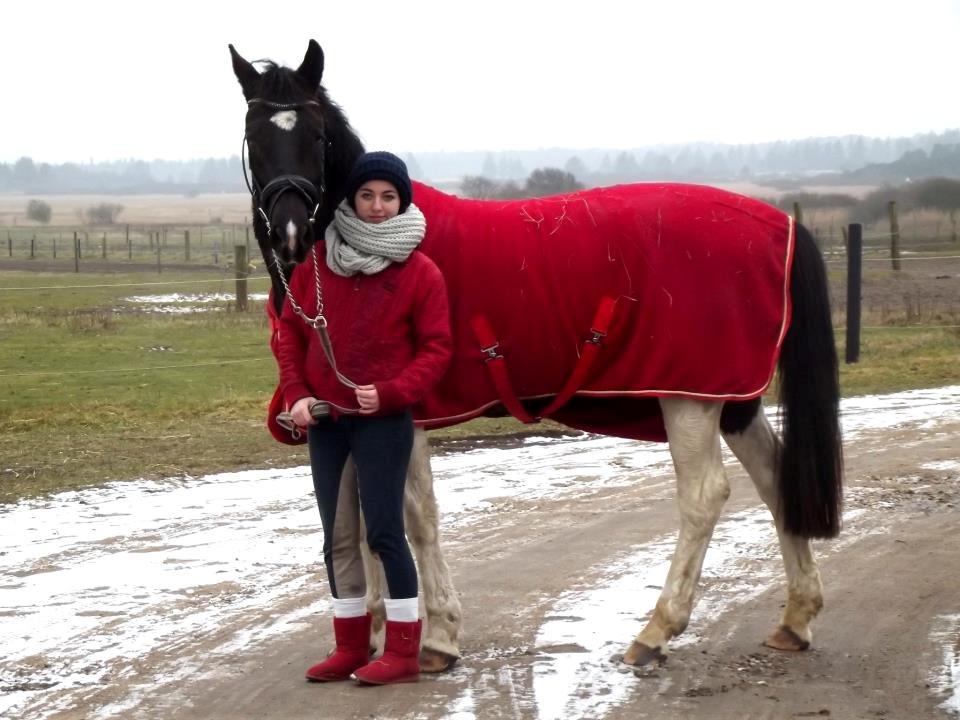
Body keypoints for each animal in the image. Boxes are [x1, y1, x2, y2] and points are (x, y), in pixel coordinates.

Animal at [231, 38, 840, 668]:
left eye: (316, 134)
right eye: (254, 133)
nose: (289, 233)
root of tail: (780, 225)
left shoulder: (402, 416)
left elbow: (414, 518)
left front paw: (439, 636)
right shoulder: (350, 417)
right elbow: (359, 516)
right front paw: (374, 632)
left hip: (689, 397)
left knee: (703, 497)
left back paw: (656, 630)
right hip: (731, 397)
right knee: (776, 481)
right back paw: (794, 620)